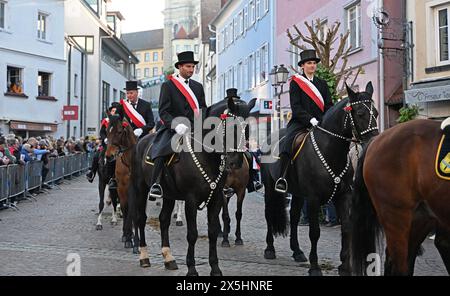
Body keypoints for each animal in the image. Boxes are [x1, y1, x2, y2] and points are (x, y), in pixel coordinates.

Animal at [128, 97, 256, 276]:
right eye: (232, 127)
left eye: (248, 128)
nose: (235, 162)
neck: (207, 156)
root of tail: (141, 142)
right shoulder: (191, 200)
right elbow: (192, 234)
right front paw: (192, 268)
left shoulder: (217, 198)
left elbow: (213, 231)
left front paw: (215, 268)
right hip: (140, 188)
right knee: (141, 218)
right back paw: (144, 257)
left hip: (169, 195)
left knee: (164, 219)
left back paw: (169, 259)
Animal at [262, 82, 378, 276]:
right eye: (360, 113)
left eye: (375, 112)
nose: (374, 142)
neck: (331, 150)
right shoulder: (314, 199)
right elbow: (314, 232)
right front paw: (315, 267)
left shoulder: (343, 196)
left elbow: (346, 228)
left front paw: (345, 267)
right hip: (270, 187)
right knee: (269, 214)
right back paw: (269, 249)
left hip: (298, 193)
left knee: (294, 217)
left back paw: (297, 252)